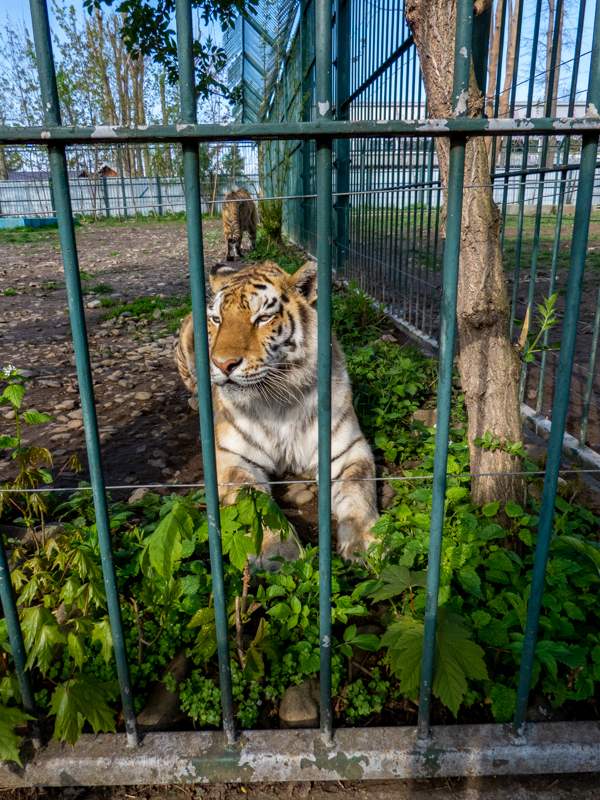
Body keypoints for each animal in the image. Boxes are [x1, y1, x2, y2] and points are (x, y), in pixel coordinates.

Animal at [176, 260, 380, 570]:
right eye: (216, 320)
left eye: (262, 318)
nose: (223, 364)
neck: (277, 398)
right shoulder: (233, 455)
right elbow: (253, 502)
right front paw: (276, 551)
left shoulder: (347, 448)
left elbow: (358, 488)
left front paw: (365, 543)